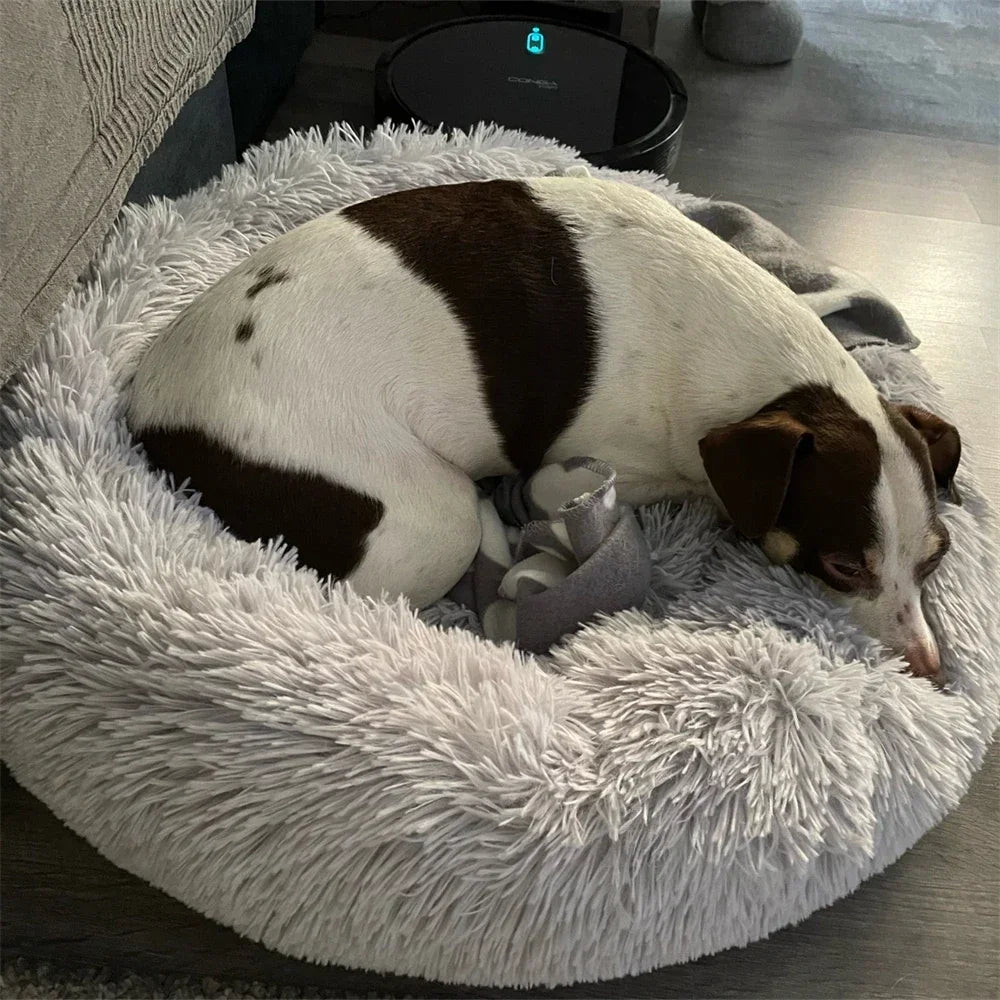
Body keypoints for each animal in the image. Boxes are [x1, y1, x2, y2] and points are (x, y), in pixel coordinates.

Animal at [125, 178, 960, 680]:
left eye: (935, 558)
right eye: (843, 566)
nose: (930, 667)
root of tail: (150, 413)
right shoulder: (590, 466)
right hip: (427, 518)